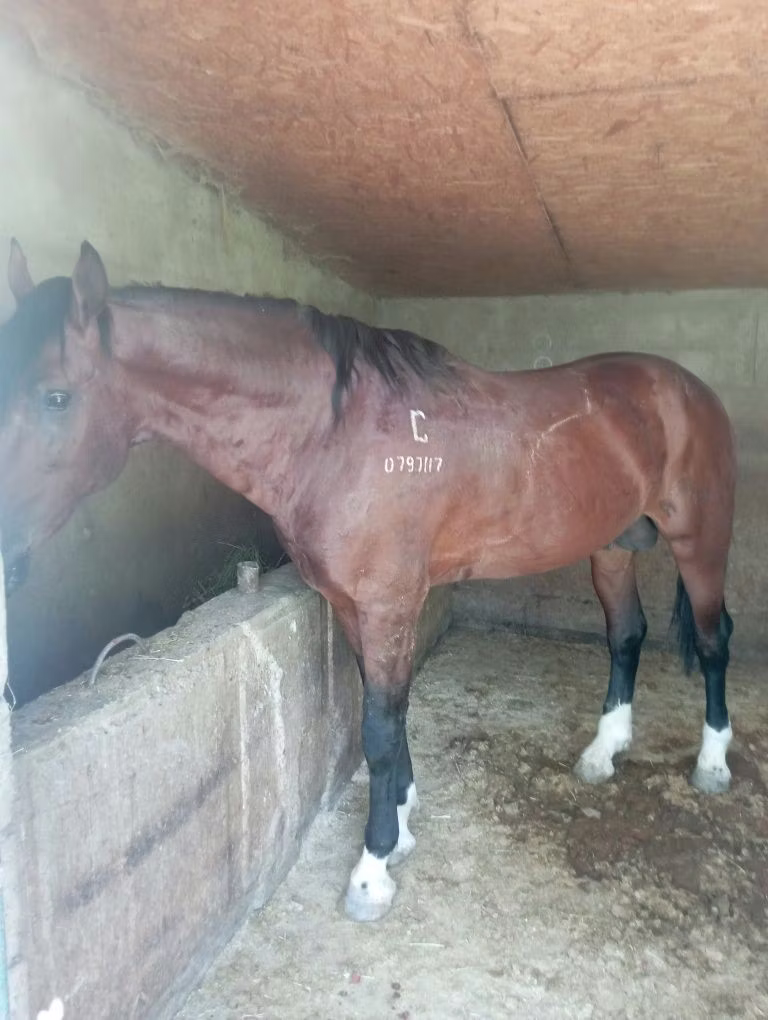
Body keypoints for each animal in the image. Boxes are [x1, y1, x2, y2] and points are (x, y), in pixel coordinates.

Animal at [0, 240, 736, 922]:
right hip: (612, 546)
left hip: (699, 541)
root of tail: (690, 390)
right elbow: (387, 714)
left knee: (712, 639)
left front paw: (372, 869)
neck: (332, 435)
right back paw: (604, 751)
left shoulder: (388, 602)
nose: (7, 554)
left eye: (56, 396)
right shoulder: (354, 605)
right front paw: (403, 825)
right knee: (627, 635)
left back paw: (712, 763)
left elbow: (378, 729)